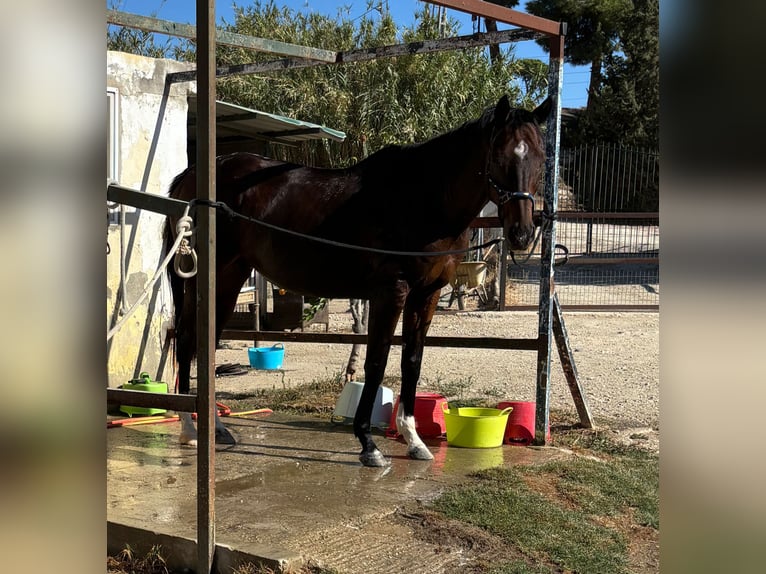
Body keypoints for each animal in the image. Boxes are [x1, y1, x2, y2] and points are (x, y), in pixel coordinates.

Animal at [164, 94, 551, 467]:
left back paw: (215, 426)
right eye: (499, 155)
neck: (421, 198)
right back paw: (189, 430)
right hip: (206, 279)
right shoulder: (391, 292)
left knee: (205, 344)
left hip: (229, 279)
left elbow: (412, 362)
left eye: (542, 157)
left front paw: (414, 441)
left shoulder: (426, 295)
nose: (522, 233)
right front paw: (368, 445)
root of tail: (190, 177)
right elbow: (376, 363)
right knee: (187, 340)